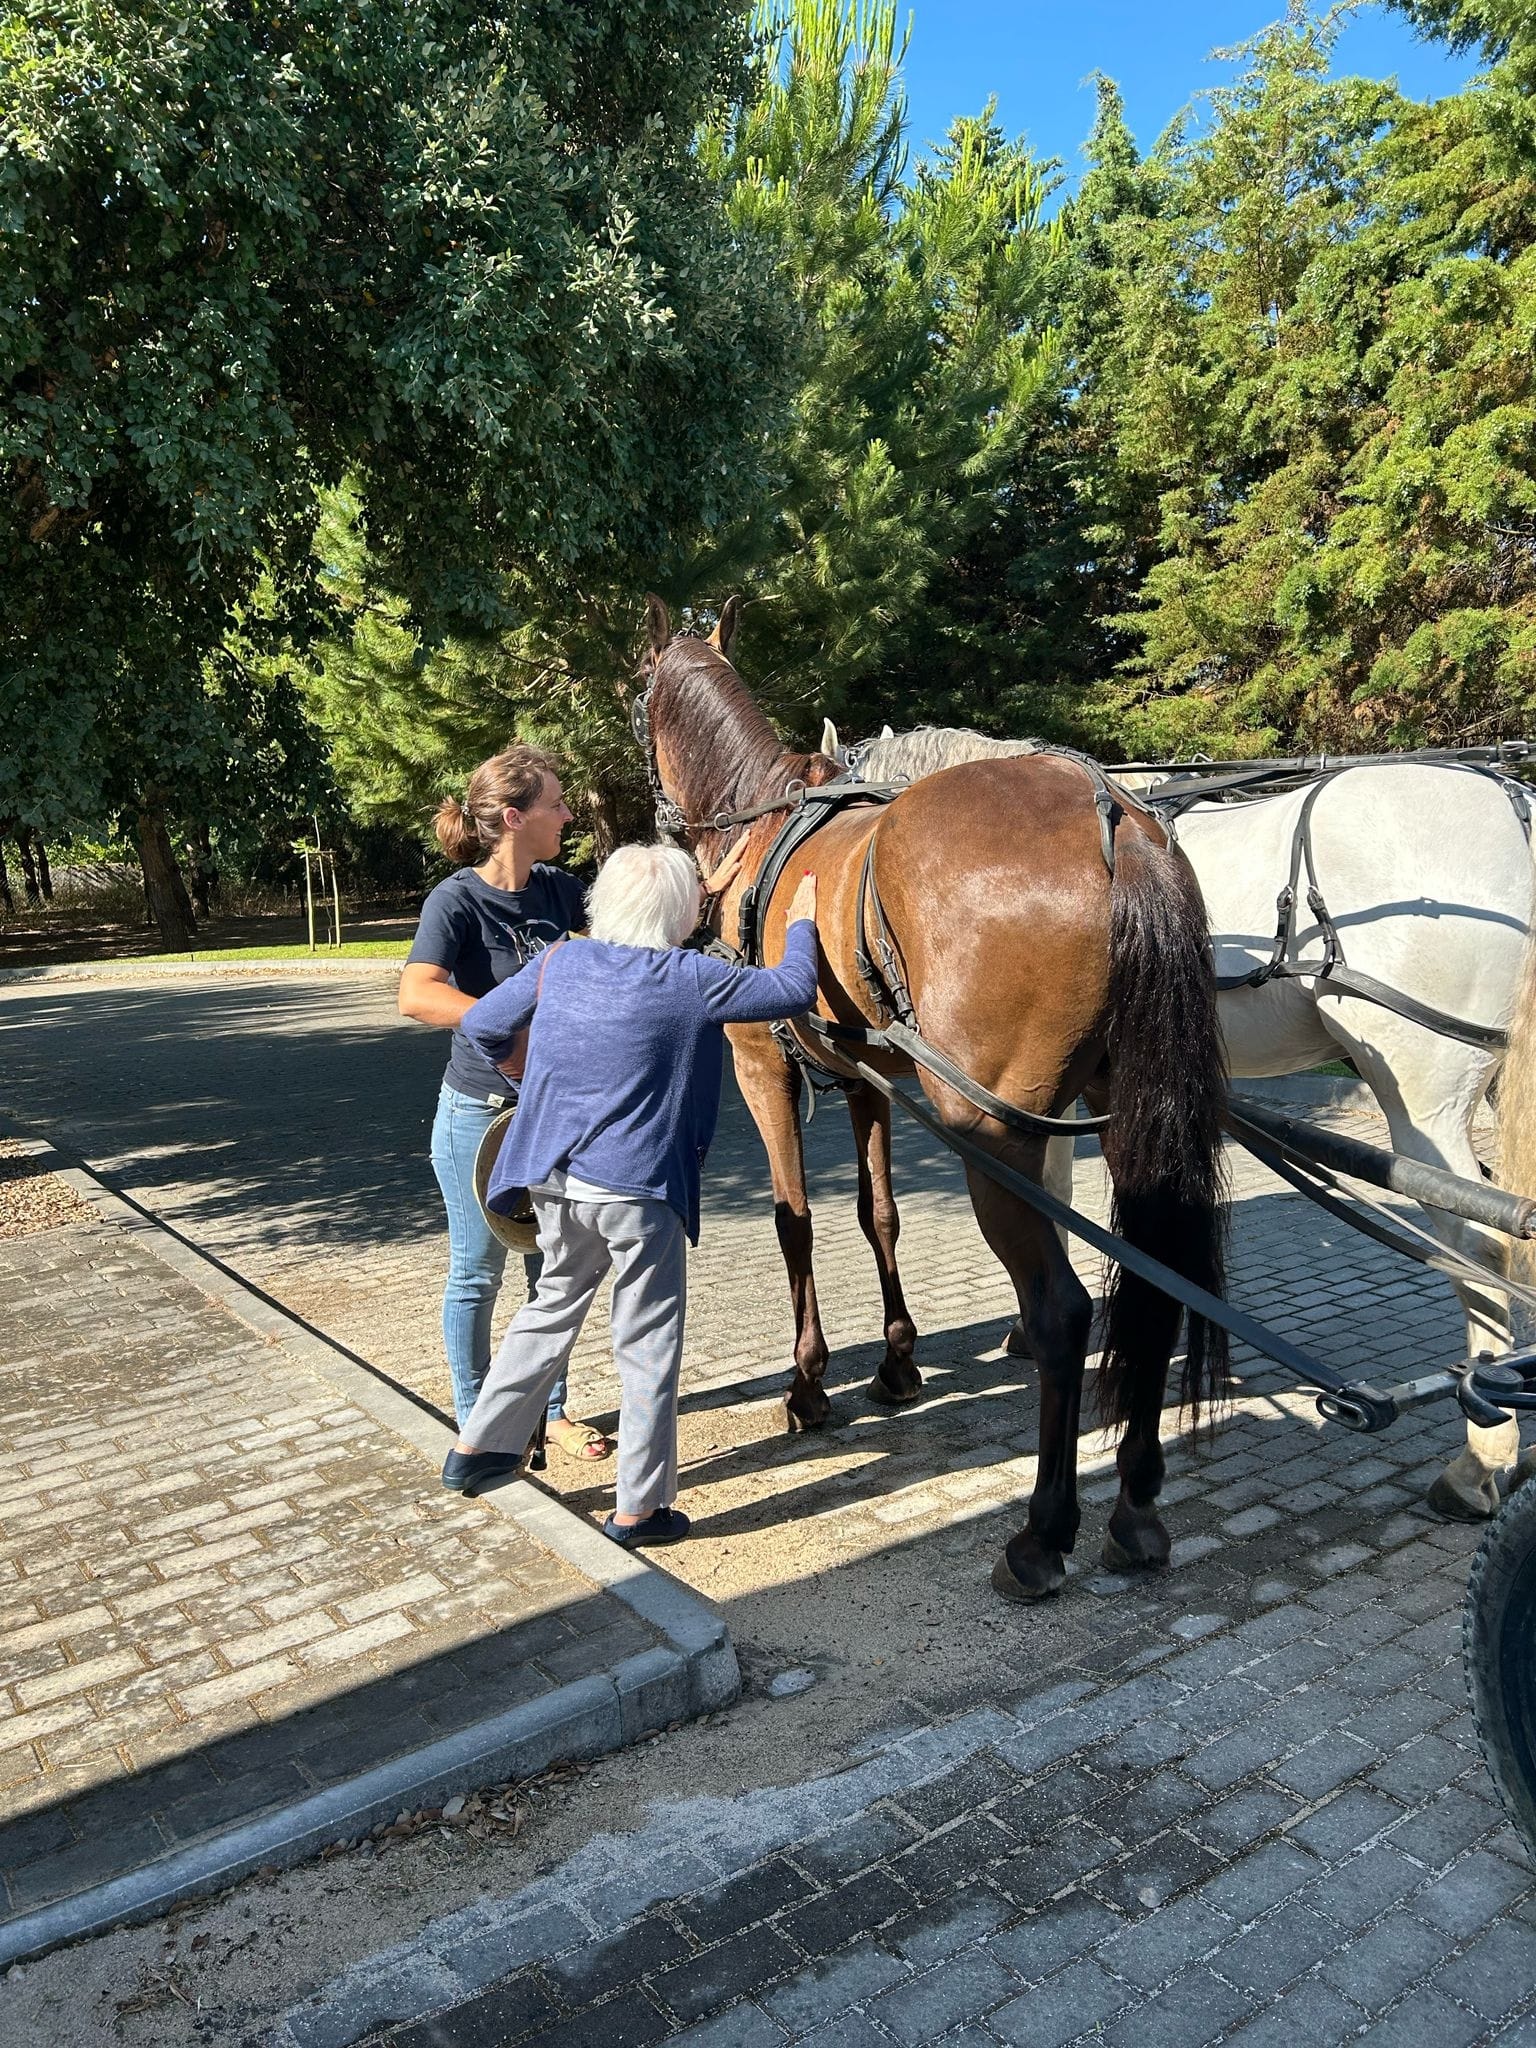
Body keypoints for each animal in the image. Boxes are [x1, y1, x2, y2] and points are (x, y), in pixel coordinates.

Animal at [636, 597, 1232, 1602]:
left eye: (636, 701)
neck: (764, 824)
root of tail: (1115, 820)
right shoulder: (868, 1081)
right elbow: (878, 1213)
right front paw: (897, 1361)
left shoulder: (760, 1065)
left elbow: (794, 1220)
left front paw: (809, 1387)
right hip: (1129, 1120)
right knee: (1152, 1286)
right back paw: (1136, 1506)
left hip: (990, 1137)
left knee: (1063, 1314)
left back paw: (1044, 1532)